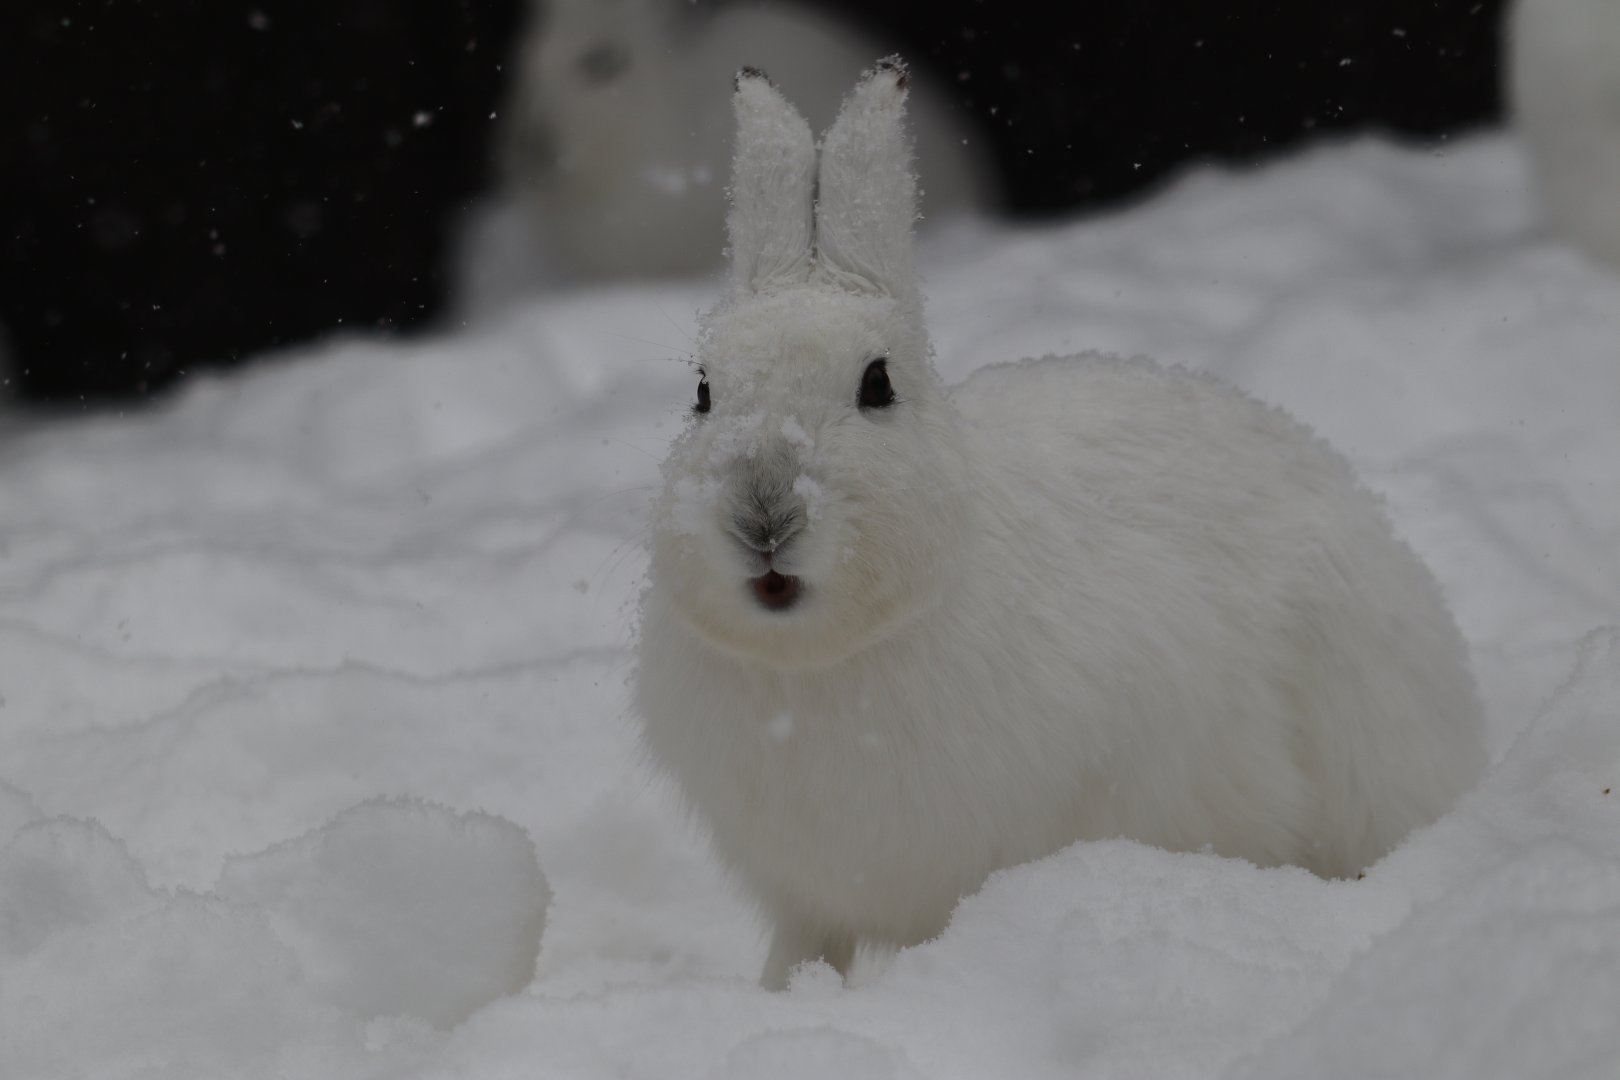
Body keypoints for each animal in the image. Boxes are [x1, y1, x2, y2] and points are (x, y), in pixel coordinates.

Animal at [633, 61, 1487, 991]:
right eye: (704, 392)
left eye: (877, 384)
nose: (762, 515)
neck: (820, 660)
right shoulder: (806, 897)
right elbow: (798, 954)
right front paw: (778, 998)